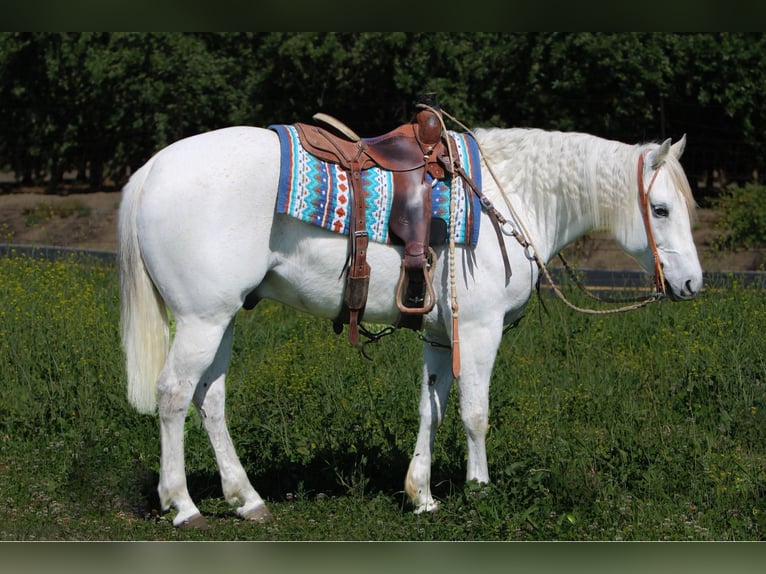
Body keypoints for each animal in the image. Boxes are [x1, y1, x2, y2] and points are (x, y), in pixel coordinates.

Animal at [118, 124, 704, 528]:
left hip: (221, 318)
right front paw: (479, 488)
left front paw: (421, 494)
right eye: (660, 209)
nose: (693, 283)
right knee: (173, 395)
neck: (511, 198)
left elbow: (432, 409)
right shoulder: (480, 331)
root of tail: (152, 171)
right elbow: (474, 414)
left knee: (210, 400)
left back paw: (247, 499)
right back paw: (183, 505)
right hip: (201, 320)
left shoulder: (441, 336)